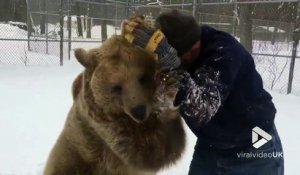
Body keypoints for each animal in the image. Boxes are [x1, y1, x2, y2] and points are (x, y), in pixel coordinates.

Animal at [44, 35, 185, 175]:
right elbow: (146, 151)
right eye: (116, 87)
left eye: (143, 78)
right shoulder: (103, 126)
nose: (139, 111)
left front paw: (167, 90)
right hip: (73, 157)